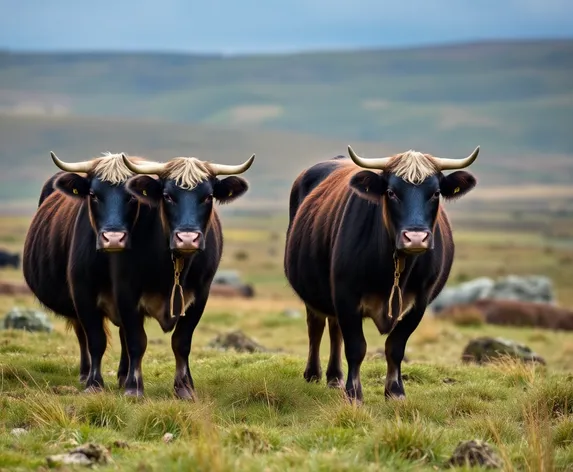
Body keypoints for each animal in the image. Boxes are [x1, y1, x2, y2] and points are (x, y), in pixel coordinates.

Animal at [23, 151, 151, 390]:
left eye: (132, 196)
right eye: (93, 194)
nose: (113, 238)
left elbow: (127, 335)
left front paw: (124, 377)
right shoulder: (82, 292)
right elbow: (95, 339)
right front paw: (94, 382)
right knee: (81, 333)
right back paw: (84, 373)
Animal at [109, 154, 252, 398]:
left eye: (208, 196)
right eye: (167, 196)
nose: (187, 238)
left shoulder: (200, 295)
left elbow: (181, 341)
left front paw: (184, 387)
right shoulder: (125, 291)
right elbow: (136, 340)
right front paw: (133, 387)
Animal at [284, 145, 478, 402]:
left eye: (435, 193)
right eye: (391, 192)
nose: (415, 237)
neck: (394, 269)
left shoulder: (419, 302)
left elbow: (395, 347)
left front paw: (395, 391)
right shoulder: (346, 295)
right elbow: (356, 347)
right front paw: (354, 394)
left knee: (334, 331)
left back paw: (334, 377)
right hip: (315, 292)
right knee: (316, 328)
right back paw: (313, 374)